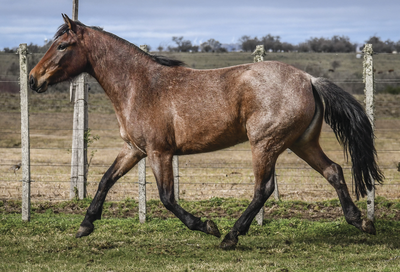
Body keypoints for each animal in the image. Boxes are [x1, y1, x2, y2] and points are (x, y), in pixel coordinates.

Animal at [29, 14, 382, 249]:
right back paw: (361, 221)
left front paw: (206, 225)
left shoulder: (159, 152)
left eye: (62, 45)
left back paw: (230, 236)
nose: (34, 79)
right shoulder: (134, 150)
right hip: (301, 142)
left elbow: (167, 198)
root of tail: (308, 79)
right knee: (334, 171)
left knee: (264, 189)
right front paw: (85, 224)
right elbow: (105, 180)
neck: (139, 86)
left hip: (265, 144)